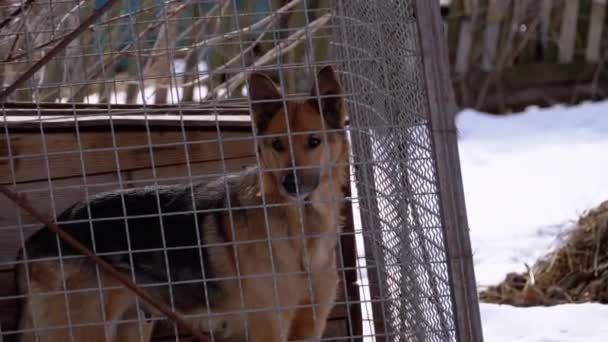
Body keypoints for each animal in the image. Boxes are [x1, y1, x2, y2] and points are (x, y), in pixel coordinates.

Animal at [14, 66, 350, 342]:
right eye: (278, 145)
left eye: (314, 142)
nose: (290, 184)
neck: (302, 231)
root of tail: (38, 237)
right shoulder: (268, 327)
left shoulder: (309, 327)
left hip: (132, 325)